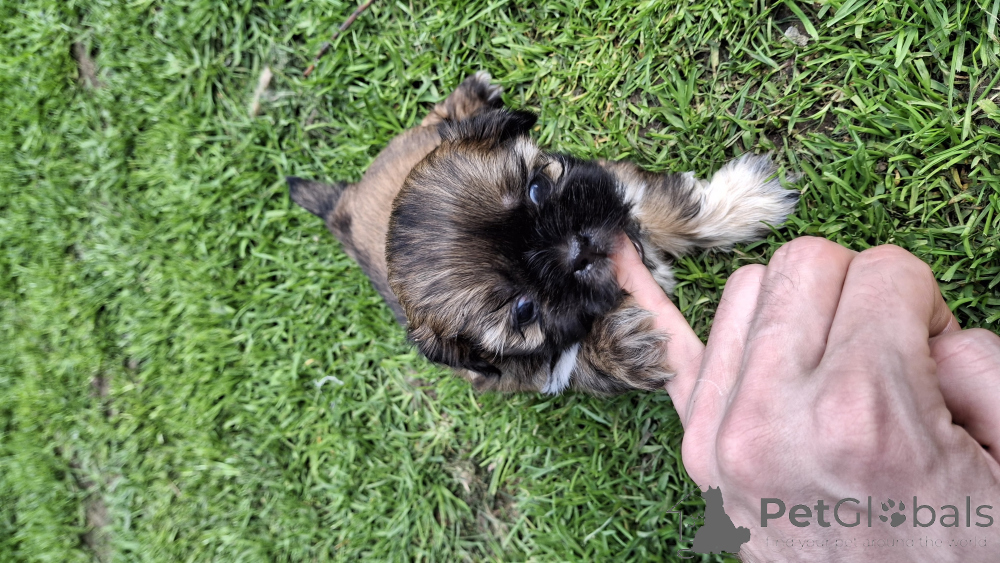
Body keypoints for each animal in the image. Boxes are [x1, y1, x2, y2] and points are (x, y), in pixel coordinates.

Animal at [288, 72, 798, 396]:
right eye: (524, 309)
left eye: (537, 189)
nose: (576, 248)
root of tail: (347, 202)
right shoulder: (527, 372)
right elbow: (573, 362)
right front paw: (622, 347)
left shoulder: (610, 186)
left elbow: (675, 209)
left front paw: (748, 201)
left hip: (424, 136)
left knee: (438, 118)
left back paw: (473, 93)